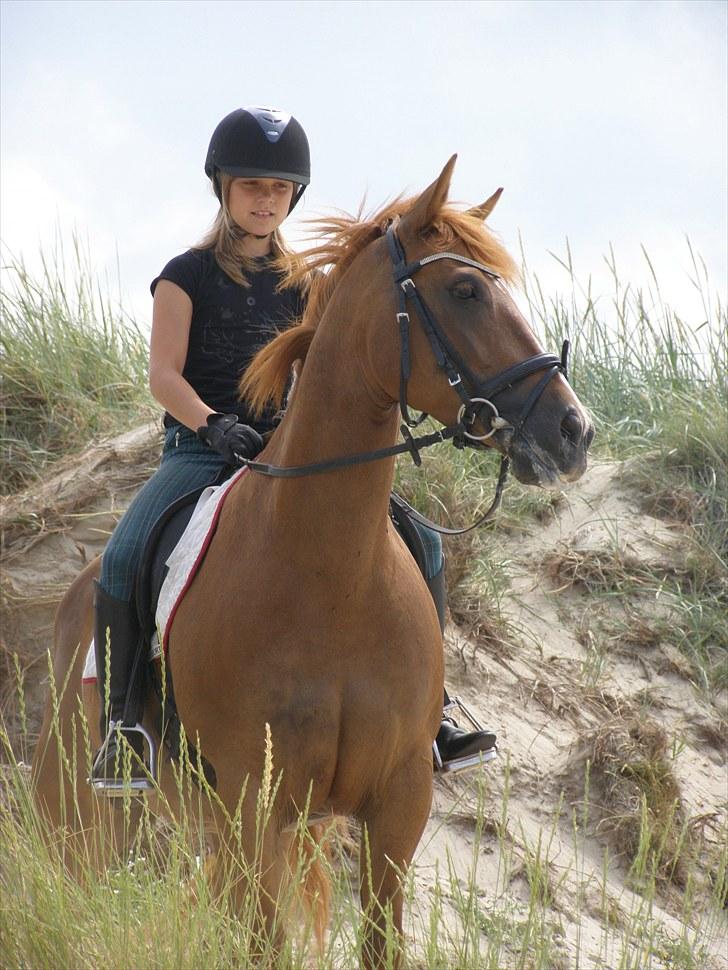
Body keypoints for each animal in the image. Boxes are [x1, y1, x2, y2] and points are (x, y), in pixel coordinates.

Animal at [31, 157, 596, 960]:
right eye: (464, 290)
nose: (573, 431)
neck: (331, 578)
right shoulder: (255, 806)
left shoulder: (397, 805)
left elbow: (381, 942)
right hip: (86, 814)